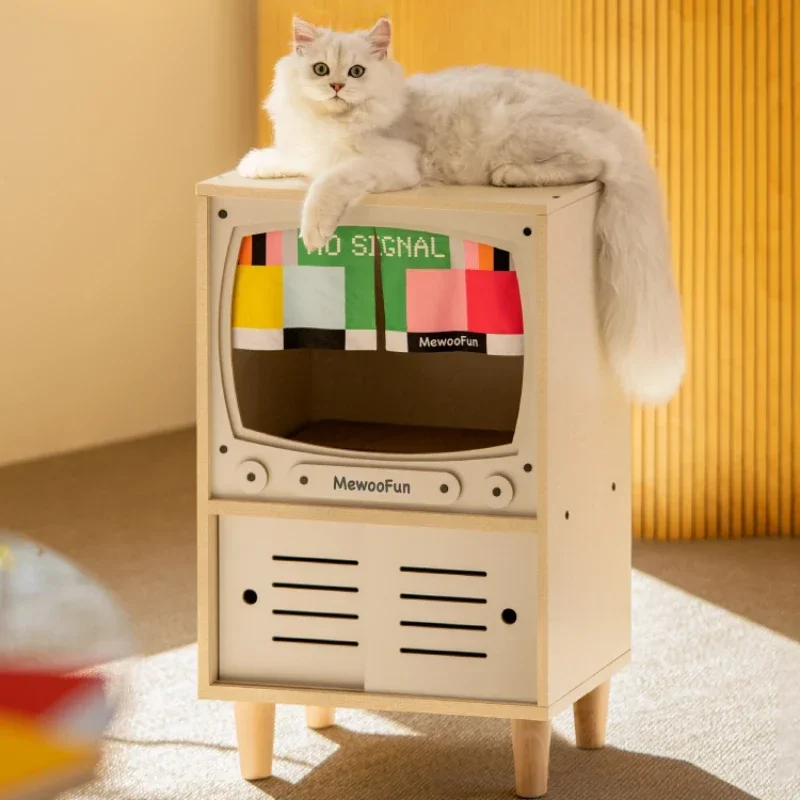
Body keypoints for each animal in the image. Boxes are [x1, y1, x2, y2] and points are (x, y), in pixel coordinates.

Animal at [239, 17, 688, 406]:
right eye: (320, 69)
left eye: (356, 71)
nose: (335, 86)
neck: (336, 125)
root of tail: (613, 119)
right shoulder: (309, 151)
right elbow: (290, 158)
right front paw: (253, 165)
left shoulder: (391, 162)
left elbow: (327, 185)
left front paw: (314, 231)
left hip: (523, 131)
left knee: (596, 162)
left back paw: (510, 175)